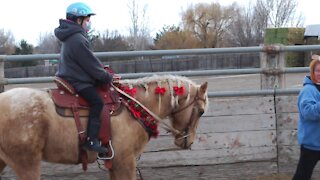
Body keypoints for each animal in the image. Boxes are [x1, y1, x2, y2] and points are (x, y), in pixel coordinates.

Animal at [0, 75, 209, 179]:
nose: (188, 141)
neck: (134, 107)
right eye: (201, 112)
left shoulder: (115, 164)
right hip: (27, 164)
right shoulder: (125, 162)